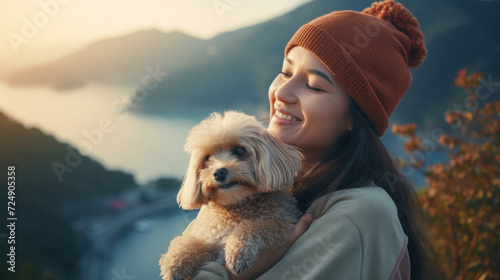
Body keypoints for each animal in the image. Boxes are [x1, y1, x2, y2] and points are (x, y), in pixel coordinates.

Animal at [159, 111, 300, 280]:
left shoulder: (284, 225)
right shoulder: (211, 243)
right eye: (207, 158)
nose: (219, 172)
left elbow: (256, 226)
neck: (236, 205)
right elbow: (192, 243)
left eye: (239, 150)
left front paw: (238, 252)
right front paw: (174, 262)